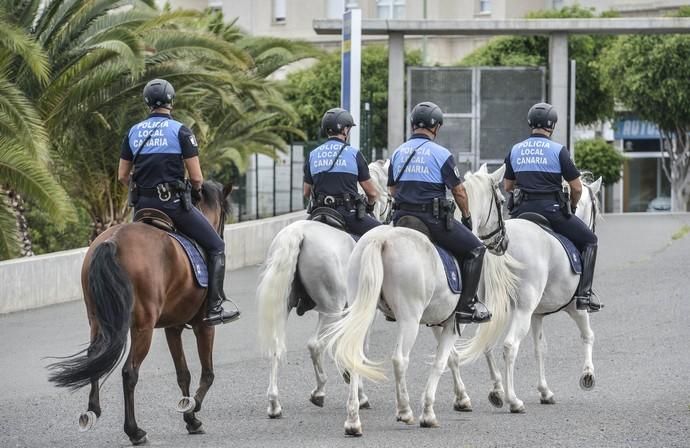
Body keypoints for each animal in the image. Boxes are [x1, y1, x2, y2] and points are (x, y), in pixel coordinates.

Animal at [49, 179, 231, 444]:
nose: (220, 235)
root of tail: (112, 241)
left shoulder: (172, 327)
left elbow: (183, 373)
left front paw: (189, 417)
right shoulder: (203, 324)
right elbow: (207, 373)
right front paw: (193, 408)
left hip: (97, 320)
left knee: (95, 357)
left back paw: (92, 411)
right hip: (143, 328)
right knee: (129, 372)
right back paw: (134, 431)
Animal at [255, 160, 390, 416]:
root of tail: (298, 233)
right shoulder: (364, 313)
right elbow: (359, 346)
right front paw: (359, 392)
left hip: (288, 305)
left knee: (277, 345)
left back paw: (274, 403)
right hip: (331, 308)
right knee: (315, 345)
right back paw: (319, 392)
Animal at [322, 164, 510, 434]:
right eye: (502, 201)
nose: (504, 242)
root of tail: (381, 239)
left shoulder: (440, 321)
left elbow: (451, 357)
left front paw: (462, 398)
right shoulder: (455, 322)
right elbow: (443, 361)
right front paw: (429, 412)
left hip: (363, 310)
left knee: (355, 353)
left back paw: (353, 420)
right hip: (409, 319)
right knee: (399, 359)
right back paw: (404, 411)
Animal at [456, 174, 600, 412]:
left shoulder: (537, 314)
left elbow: (540, 348)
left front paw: (545, 391)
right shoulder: (575, 307)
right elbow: (588, 335)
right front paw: (588, 375)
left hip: (479, 309)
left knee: (477, 346)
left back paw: (485, 394)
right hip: (521, 310)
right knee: (509, 346)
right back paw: (513, 400)